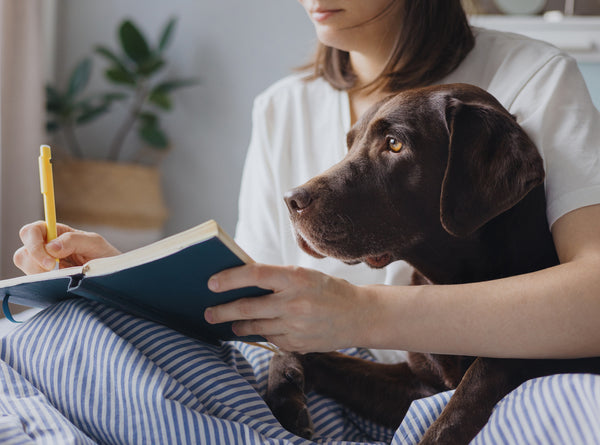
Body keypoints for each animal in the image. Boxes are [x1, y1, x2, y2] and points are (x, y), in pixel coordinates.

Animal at [264, 84, 600, 444]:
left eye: (394, 144)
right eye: (350, 144)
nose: (290, 199)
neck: (451, 282)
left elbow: (471, 391)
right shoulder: (418, 385)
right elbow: (311, 352)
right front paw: (284, 392)